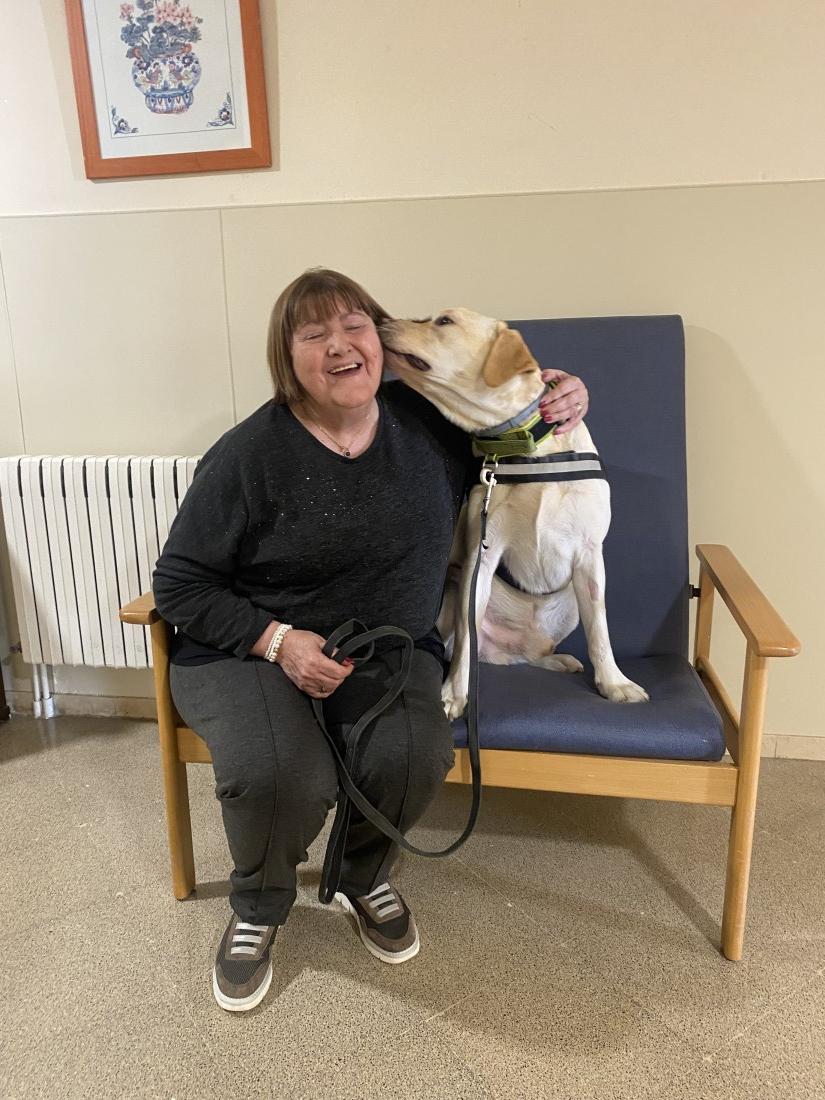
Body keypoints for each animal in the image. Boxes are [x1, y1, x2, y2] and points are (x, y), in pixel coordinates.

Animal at [380, 308, 649, 720]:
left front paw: (614, 683)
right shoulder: (482, 556)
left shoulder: (590, 555)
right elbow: (466, 641)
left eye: (443, 321)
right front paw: (454, 694)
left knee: (535, 651)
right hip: (452, 591)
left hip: (571, 600)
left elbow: (600, 630)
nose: (381, 322)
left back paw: (557, 659)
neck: (524, 447)